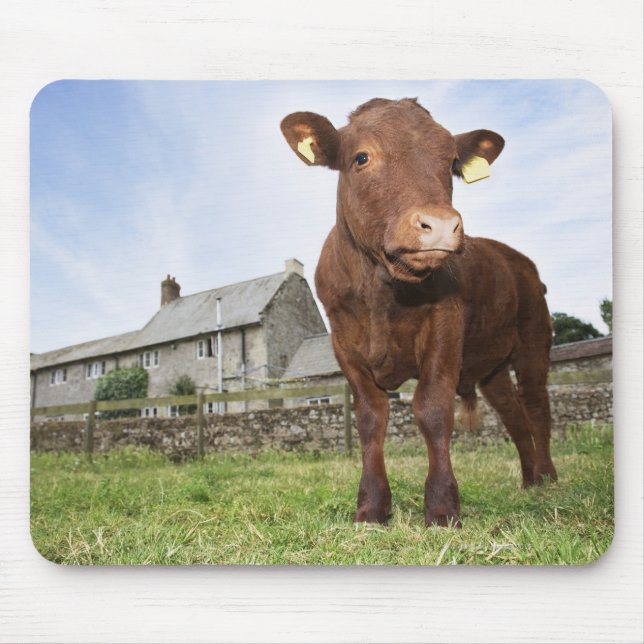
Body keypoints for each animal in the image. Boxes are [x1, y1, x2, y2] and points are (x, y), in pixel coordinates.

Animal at [280, 98, 558, 528]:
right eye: (361, 157)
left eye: (451, 163)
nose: (440, 224)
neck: (382, 288)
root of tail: (518, 259)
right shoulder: (343, 343)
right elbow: (370, 418)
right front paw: (371, 509)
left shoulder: (445, 327)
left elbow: (432, 409)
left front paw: (442, 509)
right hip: (493, 368)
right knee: (513, 416)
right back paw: (528, 481)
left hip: (533, 342)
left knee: (536, 407)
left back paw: (547, 480)